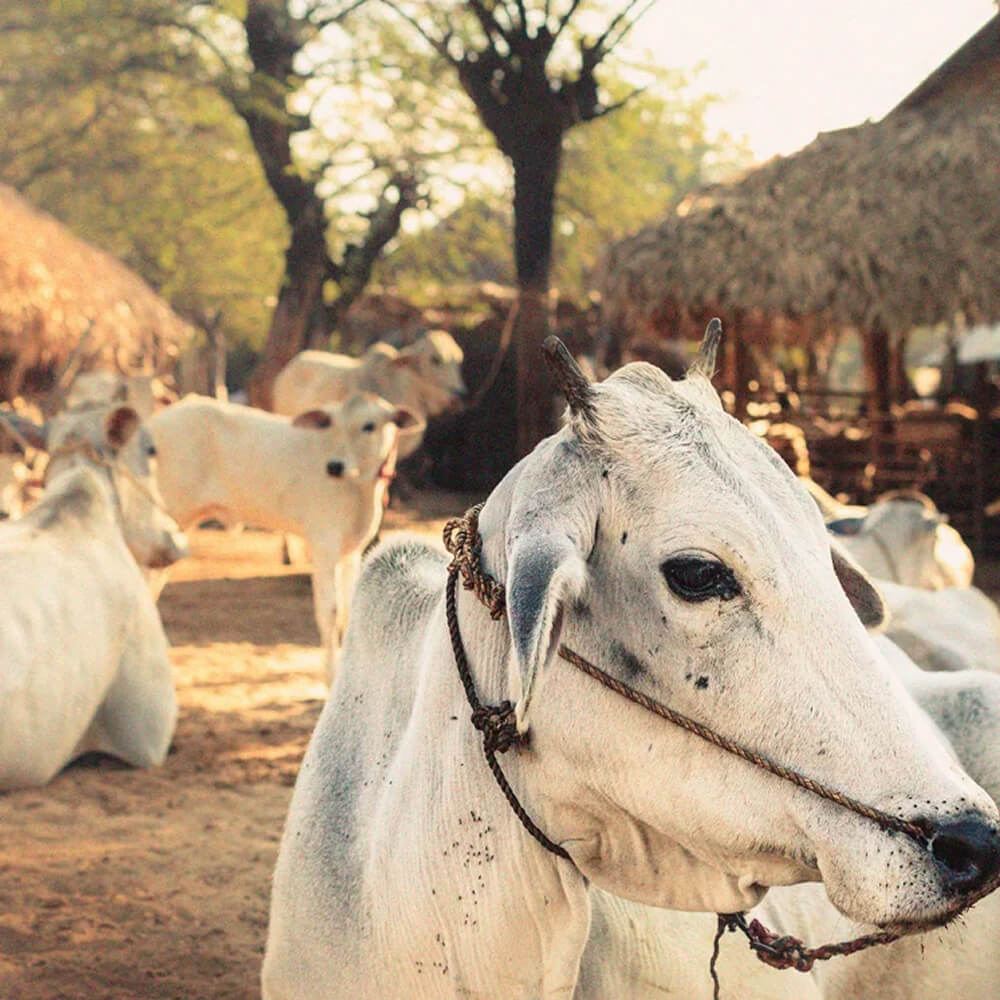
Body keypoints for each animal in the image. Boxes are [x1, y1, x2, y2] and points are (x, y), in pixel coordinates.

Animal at [146, 394, 420, 654]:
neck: (360, 488)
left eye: (369, 425)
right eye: (332, 424)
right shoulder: (324, 544)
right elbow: (330, 612)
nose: (334, 466)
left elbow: (349, 612)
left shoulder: (351, 550)